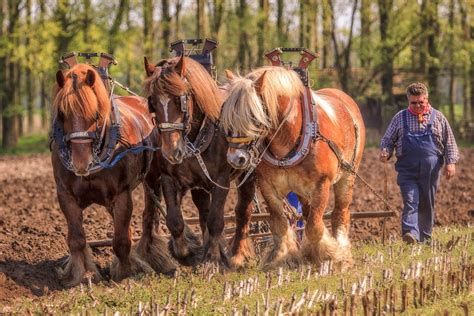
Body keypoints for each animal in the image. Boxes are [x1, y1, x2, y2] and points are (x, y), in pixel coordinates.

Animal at [51, 64, 176, 286]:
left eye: (95, 114)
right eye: (62, 114)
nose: (80, 164)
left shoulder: (122, 195)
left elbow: (121, 240)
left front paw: (125, 274)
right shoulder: (65, 195)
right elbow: (76, 239)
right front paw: (78, 275)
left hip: (152, 178)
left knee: (149, 217)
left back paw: (150, 255)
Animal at [143, 55, 256, 268]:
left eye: (180, 99)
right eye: (151, 101)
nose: (172, 151)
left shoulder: (221, 180)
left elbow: (216, 220)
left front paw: (212, 258)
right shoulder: (168, 178)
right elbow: (175, 220)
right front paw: (187, 254)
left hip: (248, 171)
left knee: (242, 210)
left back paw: (237, 254)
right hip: (199, 185)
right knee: (203, 210)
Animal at [222, 66, 366, 270]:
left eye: (253, 116)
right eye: (227, 117)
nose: (236, 158)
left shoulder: (322, 185)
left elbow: (314, 227)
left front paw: (327, 256)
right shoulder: (268, 187)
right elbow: (280, 224)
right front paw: (283, 257)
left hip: (348, 176)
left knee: (340, 213)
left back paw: (343, 254)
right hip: (301, 190)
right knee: (306, 212)